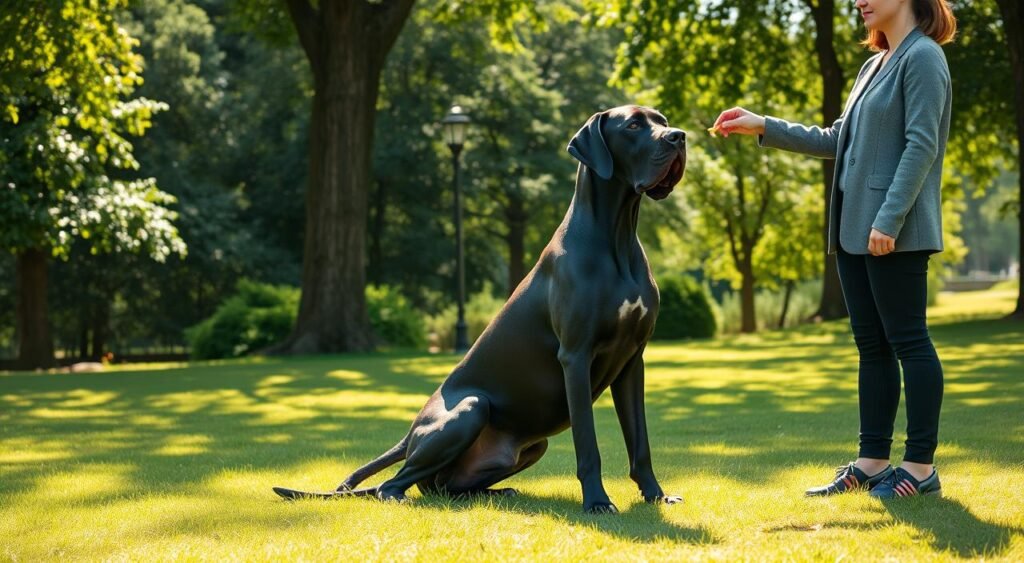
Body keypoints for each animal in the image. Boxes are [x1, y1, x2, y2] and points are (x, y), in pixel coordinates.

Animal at [276, 103, 684, 513]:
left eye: (662, 121)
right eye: (633, 125)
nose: (679, 137)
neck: (617, 236)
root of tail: (411, 434)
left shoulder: (632, 360)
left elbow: (640, 442)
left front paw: (655, 494)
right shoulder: (575, 356)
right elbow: (588, 444)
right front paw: (597, 502)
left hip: (532, 446)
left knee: (442, 486)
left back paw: (498, 493)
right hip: (470, 409)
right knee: (393, 484)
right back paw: (403, 496)